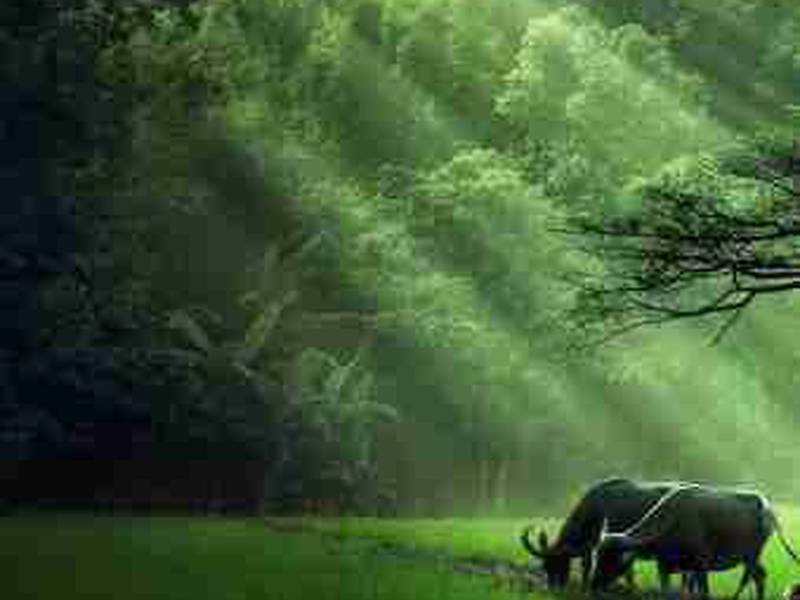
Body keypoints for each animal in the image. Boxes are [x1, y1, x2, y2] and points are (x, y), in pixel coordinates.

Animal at [520, 478, 701, 589]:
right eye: (545, 566)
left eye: (559, 562)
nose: (554, 587)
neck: (597, 508)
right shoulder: (593, 545)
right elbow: (586, 565)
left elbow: (626, 571)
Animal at [590, 483, 800, 600]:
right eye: (596, 557)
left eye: (611, 559)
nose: (593, 584)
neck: (672, 522)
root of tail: (764, 505)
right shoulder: (665, 567)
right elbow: (667, 591)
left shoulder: (700, 566)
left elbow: (704, 593)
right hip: (751, 557)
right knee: (759, 576)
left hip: (751, 554)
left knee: (752, 577)